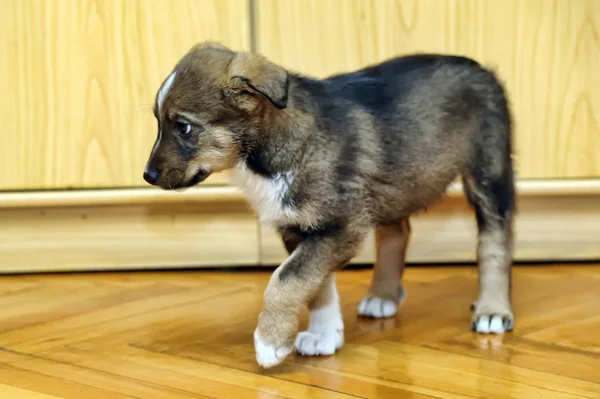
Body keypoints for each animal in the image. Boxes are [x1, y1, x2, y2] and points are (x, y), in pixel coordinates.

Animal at [142, 40, 516, 368]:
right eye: (158, 123)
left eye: (184, 127)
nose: (147, 175)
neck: (268, 153)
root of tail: (481, 67)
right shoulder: (299, 227)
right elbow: (315, 284)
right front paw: (323, 334)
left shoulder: (340, 225)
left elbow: (287, 278)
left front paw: (270, 342)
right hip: (391, 182)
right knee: (397, 231)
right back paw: (383, 296)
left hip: (489, 173)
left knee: (495, 241)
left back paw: (493, 310)